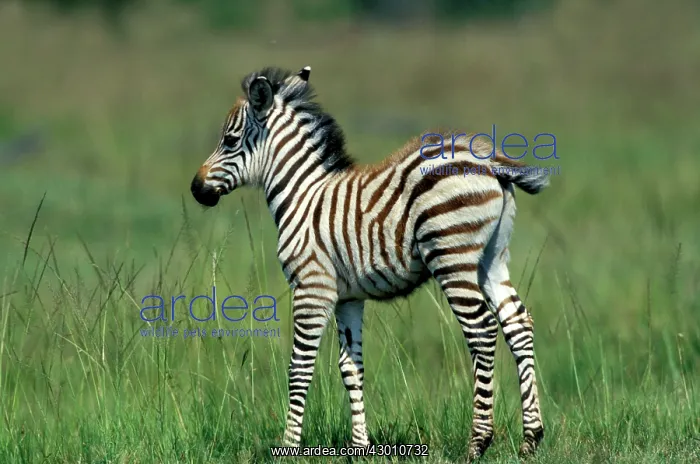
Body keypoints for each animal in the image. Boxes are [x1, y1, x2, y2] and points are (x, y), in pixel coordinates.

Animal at [190, 66, 548, 460]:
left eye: (230, 140)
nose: (195, 188)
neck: (302, 195)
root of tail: (489, 159)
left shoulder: (312, 286)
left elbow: (299, 367)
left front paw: (289, 447)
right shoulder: (348, 297)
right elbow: (351, 369)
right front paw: (360, 446)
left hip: (452, 256)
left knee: (481, 330)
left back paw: (478, 443)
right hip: (491, 259)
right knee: (517, 323)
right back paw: (531, 438)